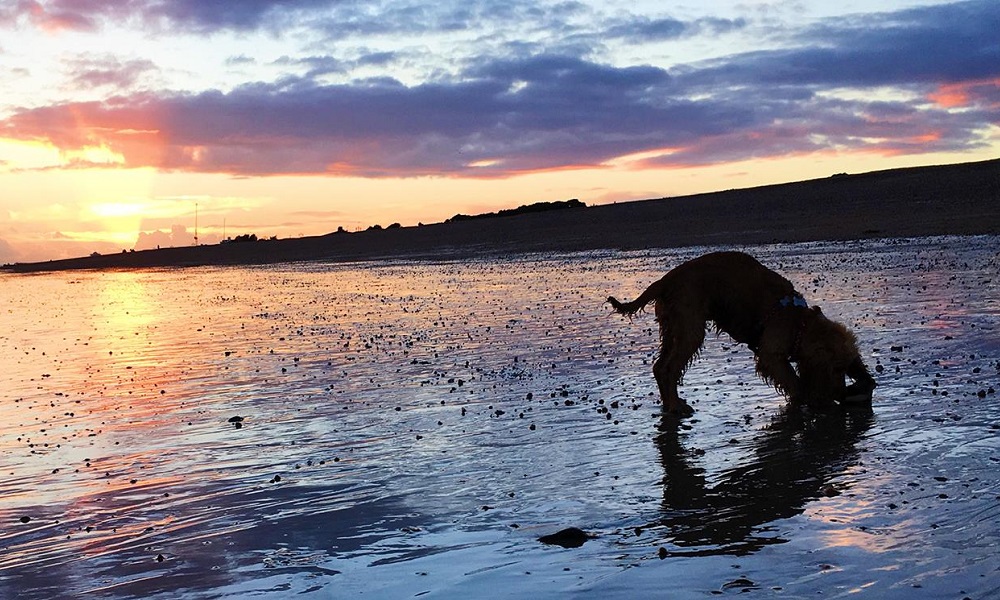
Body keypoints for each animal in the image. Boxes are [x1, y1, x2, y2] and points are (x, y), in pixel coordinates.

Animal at [600, 251, 876, 414]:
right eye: (836, 368)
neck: (799, 322)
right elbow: (796, 384)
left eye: (845, 369)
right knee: (668, 368)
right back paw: (676, 406)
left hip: (673, 328)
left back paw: (671, 405)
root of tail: (665, 281)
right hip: (690, 329)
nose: (841, 393)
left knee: (660, 367)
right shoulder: (771, 355)